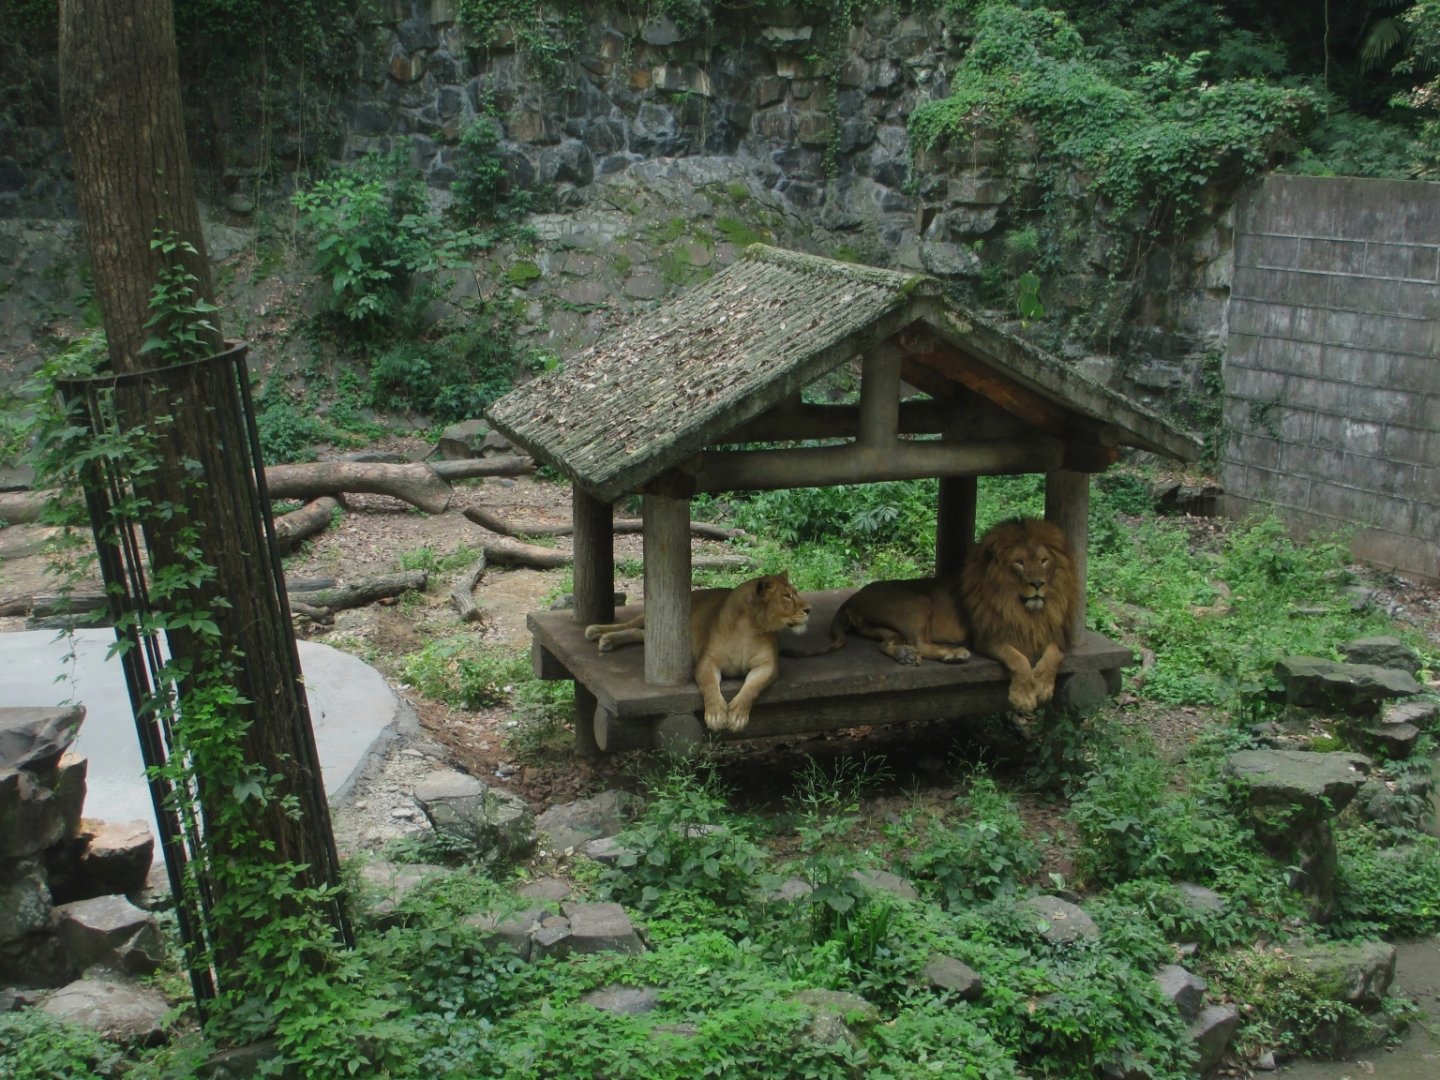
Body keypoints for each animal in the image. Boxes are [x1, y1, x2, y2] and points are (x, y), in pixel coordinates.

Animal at [584, 572, 811, 733]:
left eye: (795, 592)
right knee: (630, 624)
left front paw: (737, 716)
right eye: (787, 596)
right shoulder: (707, 662)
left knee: (641, 634)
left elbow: (751, 688)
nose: (809, 609)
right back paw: (597, 632)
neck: (750, 627)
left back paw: (608, 640)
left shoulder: (767, 666)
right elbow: (709, 686)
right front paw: (716, 715)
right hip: (651, 618)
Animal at [828, 517, 1078, 715]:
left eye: (1044, 560)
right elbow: (1019, 660)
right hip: (916, 602)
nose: (1038, 584)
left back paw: (905, 654)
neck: (1024, 608)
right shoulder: (988, 638)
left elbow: (1055, 654)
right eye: (1019, 562)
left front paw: (1043, 687)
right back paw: (953, 654)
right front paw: (1023, 697)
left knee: (889, 642)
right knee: (921, 642)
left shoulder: (1051, 634)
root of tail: (853, 597)